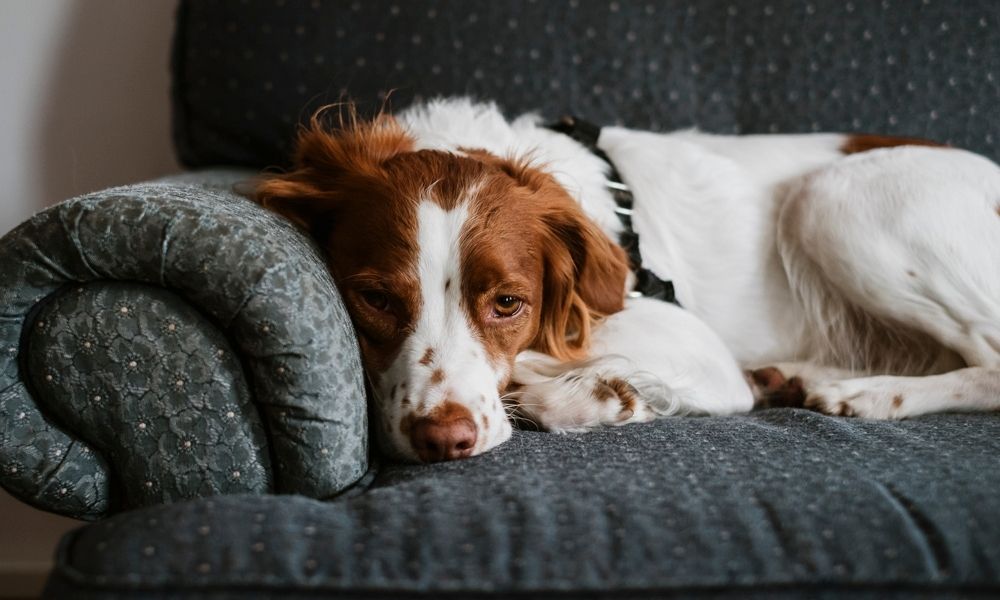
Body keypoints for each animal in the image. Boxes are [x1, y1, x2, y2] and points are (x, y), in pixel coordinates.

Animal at [254, 99, 1000, 464]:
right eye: (376, 298)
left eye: (508, 303)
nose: (445, 439)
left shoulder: (697, 345)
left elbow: (560, 366)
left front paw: (589, 393)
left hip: (834, 200)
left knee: (990, 361)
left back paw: (867, 395)